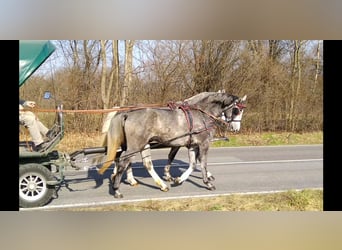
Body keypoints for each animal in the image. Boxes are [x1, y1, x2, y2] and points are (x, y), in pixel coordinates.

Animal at [97, 91, 247, 198]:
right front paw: (208, 183)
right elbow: (202, 163)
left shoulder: (192, 145)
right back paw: (117, 189)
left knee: (139, 162)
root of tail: (126, 113)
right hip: (136, 145)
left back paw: (156, 184)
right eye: (236, 110)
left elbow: (192, 164)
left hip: (140, 145)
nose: (236, 128)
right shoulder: (203, 144)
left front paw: (178, 179)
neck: (201, 114)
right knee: (123, 162)